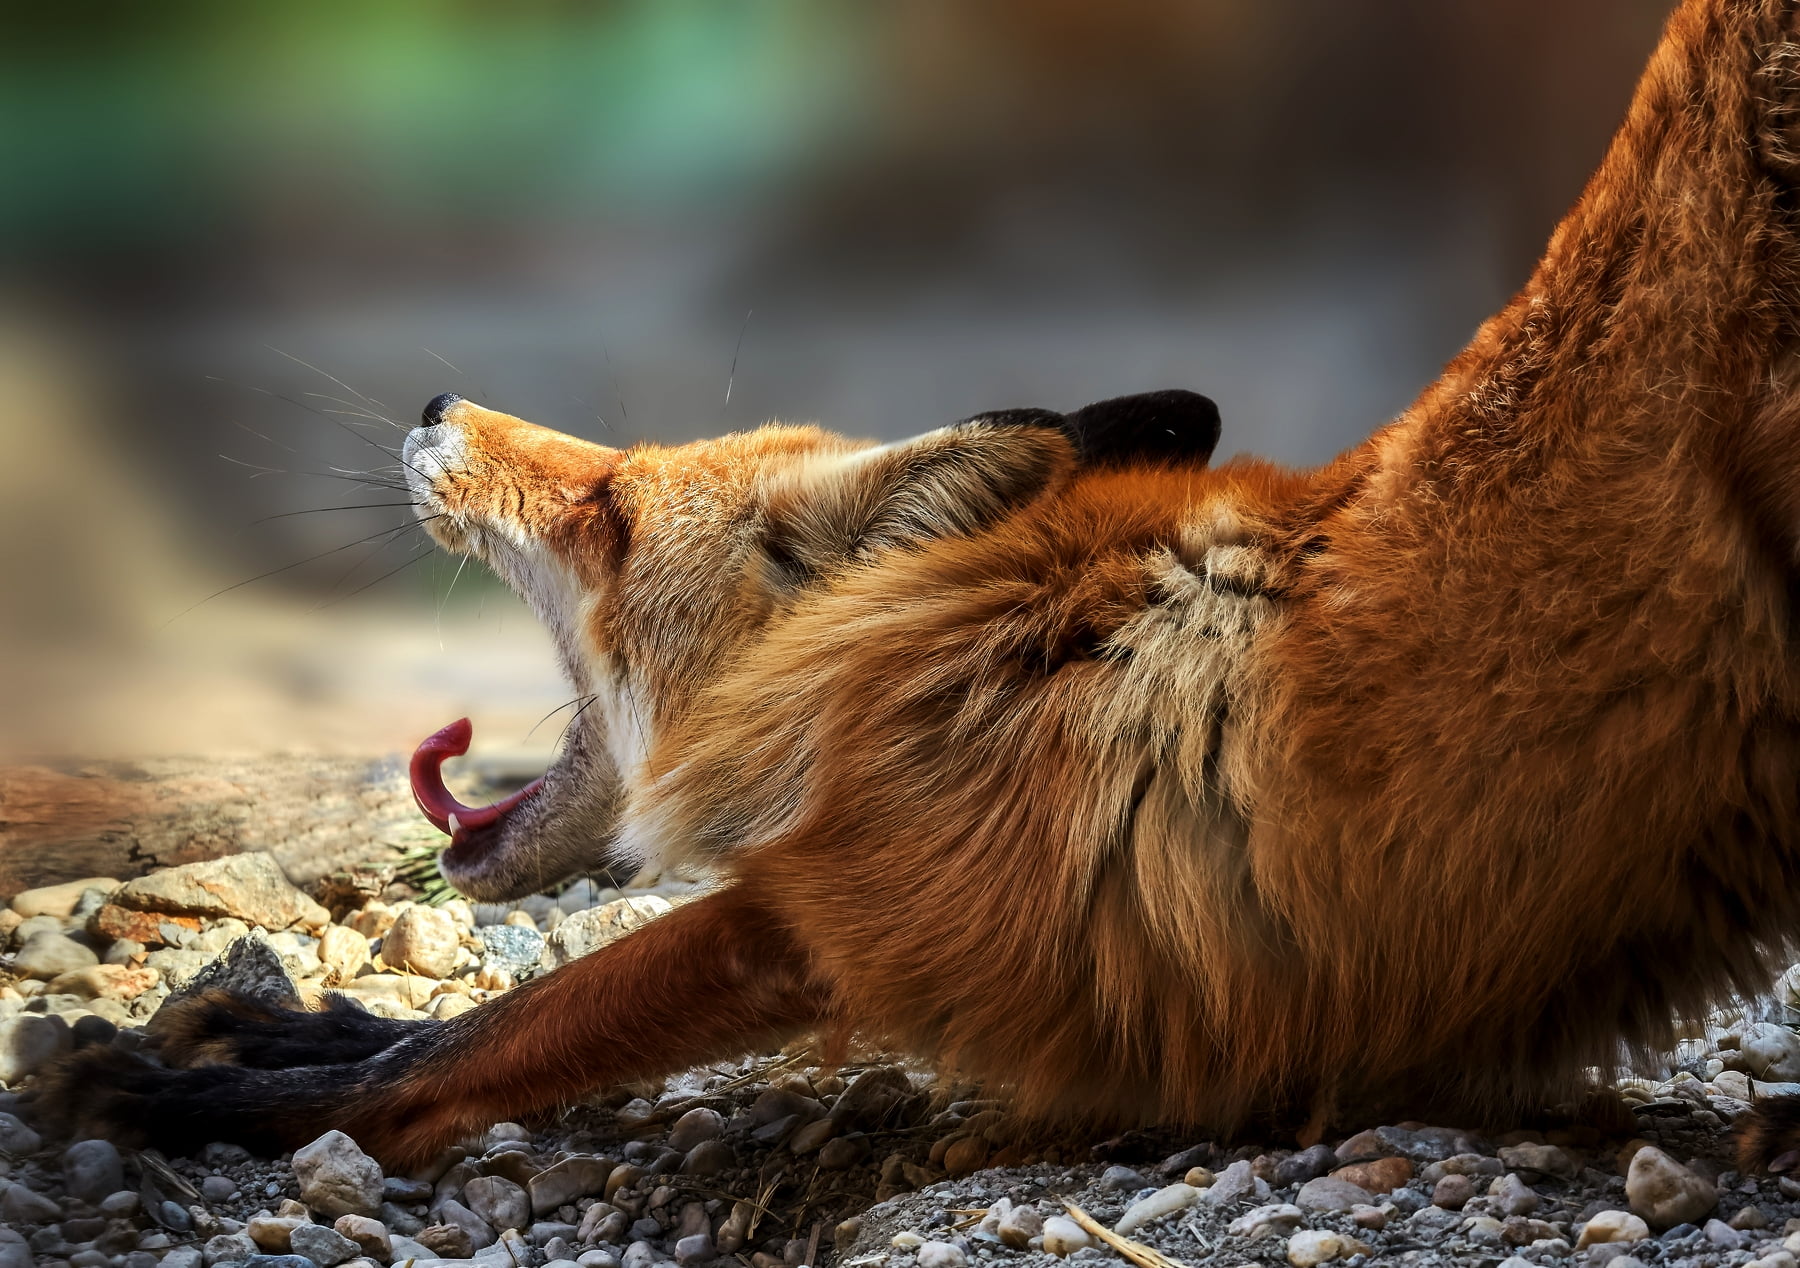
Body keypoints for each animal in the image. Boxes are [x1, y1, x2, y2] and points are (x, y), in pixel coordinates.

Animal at [49, 0, 1800, 1175]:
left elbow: (510, 1025)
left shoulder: (862, 904)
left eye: (610, 504)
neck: (939, 653)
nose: (433, 403)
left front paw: (246, 1093)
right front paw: (304, 1031)